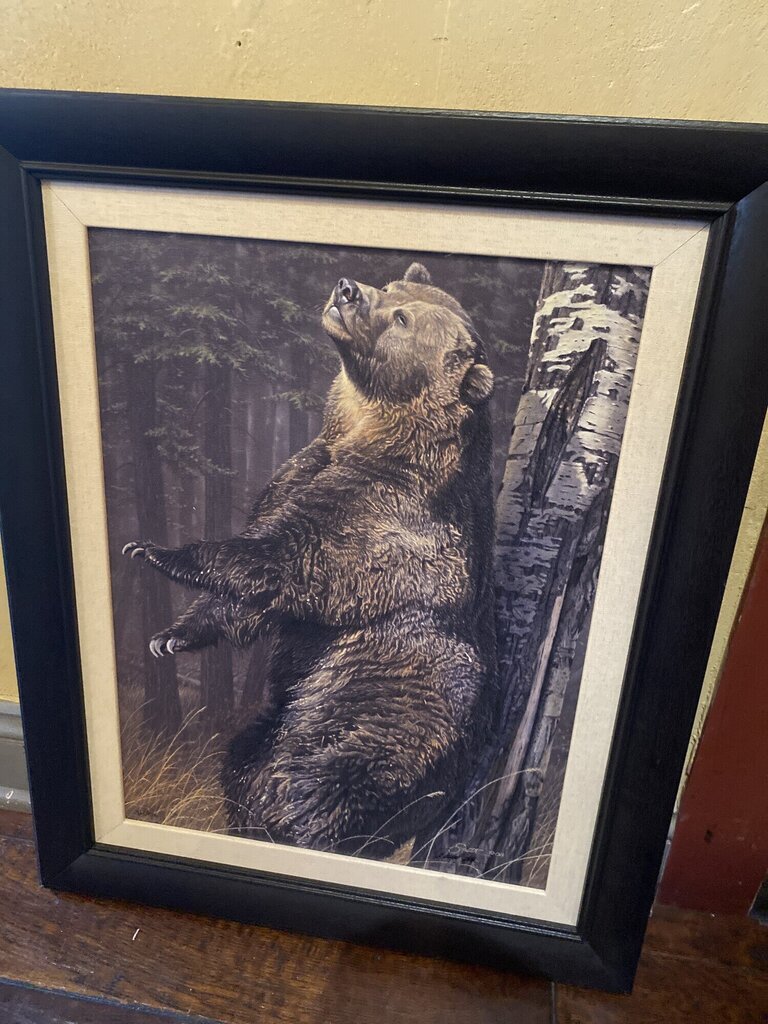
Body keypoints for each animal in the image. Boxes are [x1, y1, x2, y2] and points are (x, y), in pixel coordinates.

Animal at [123, 261, 498, 857]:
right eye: (392, 287)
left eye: (402, 318)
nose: (347, 289)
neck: (367, 431)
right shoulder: (303, 467)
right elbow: (256, 587)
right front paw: (172, 635)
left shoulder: (382, 513)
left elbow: (284, 558)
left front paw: (158, 549)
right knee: (243, 756)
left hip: (379, 719)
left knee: (315, 786)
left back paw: (289, 824)